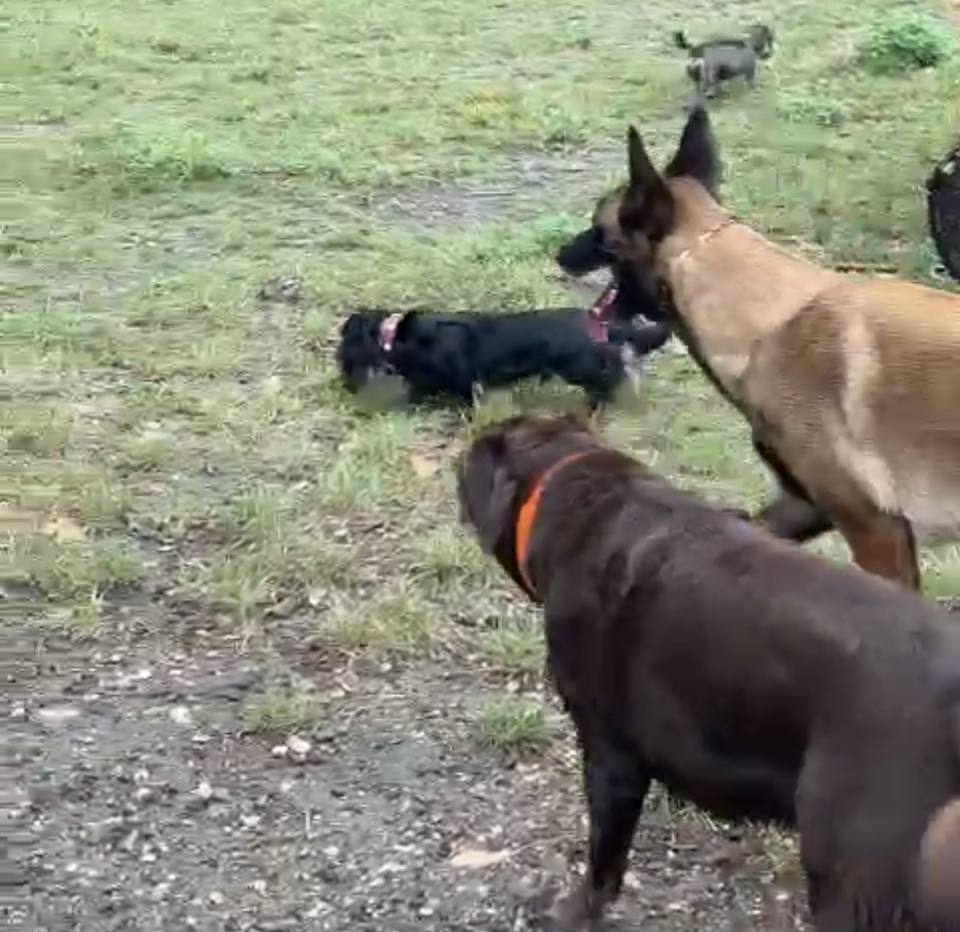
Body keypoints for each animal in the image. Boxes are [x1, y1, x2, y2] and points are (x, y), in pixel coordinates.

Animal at [338, 270, 676, 416]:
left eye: (345, 351)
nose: (344, 386)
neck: (396, 336)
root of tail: (603, 322)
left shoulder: (459, 382)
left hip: (580, 368)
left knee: (610, 380)